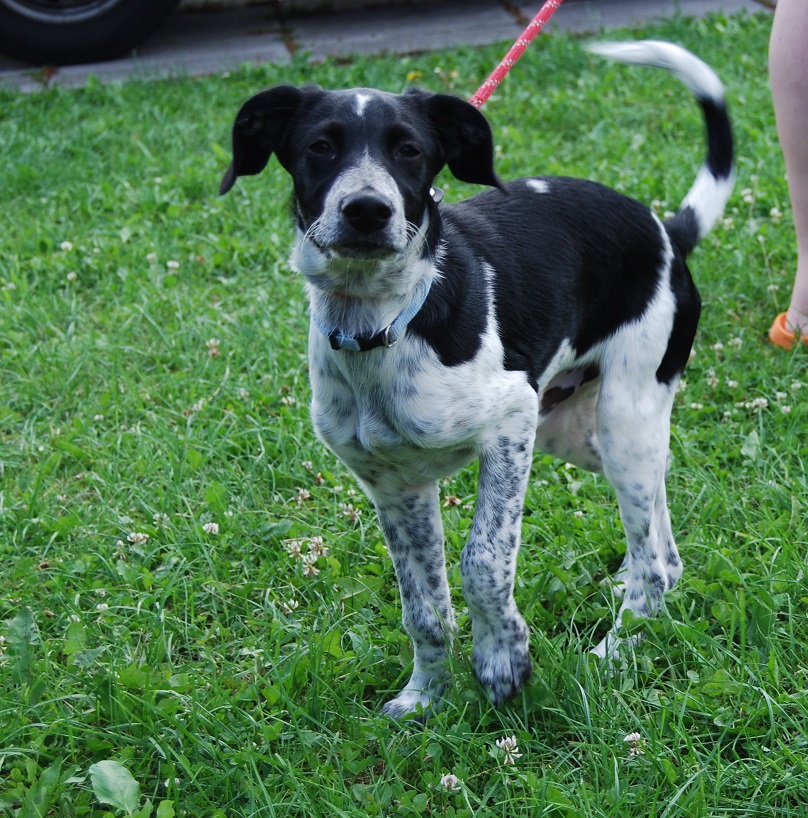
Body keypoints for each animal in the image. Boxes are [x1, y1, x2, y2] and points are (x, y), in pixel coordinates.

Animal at [219, 40, 734, 718]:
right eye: (320, 146)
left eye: (410, 151)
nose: (367, 210)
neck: (384, 322)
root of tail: (667, 232)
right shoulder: (395, 486)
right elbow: (424, 606)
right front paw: (425, 696)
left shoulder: (509, 424)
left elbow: (483, 560)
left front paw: (502, 659)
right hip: (579, 431)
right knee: (660, 530)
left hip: (622, 413)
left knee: (651, 561)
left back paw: (614, 651)